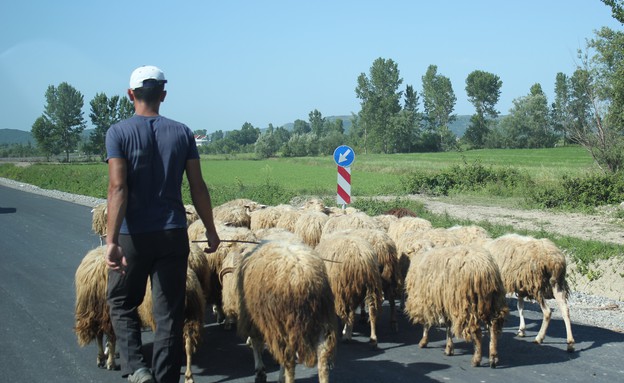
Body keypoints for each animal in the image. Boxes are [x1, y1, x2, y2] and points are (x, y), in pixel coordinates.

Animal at [238, 240, 338, 383]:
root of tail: (304, 279)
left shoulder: (251, 317)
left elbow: (256, 343)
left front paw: (260, 371)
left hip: (282, 321)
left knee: (289, 359)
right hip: (323, 317)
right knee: (323, 354)